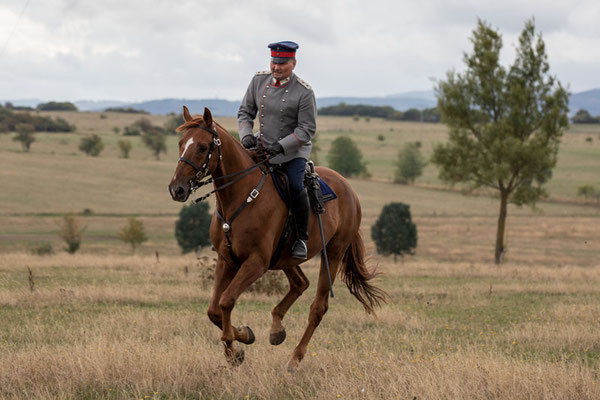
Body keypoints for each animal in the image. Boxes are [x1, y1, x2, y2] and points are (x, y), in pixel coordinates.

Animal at [169, 107, 386, 372]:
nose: (177, 189)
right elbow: (214, 310)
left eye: (201, 146)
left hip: (333, 253)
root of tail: (349, 189)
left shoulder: (256, 263)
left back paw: (294, 358)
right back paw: (276, 330)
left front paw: (234, 347)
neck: (241, 196)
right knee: (300, 283)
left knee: (318, 307)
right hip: (285, 257)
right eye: (181, 144)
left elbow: (226, 301)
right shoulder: (226, 260)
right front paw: (242, 339)